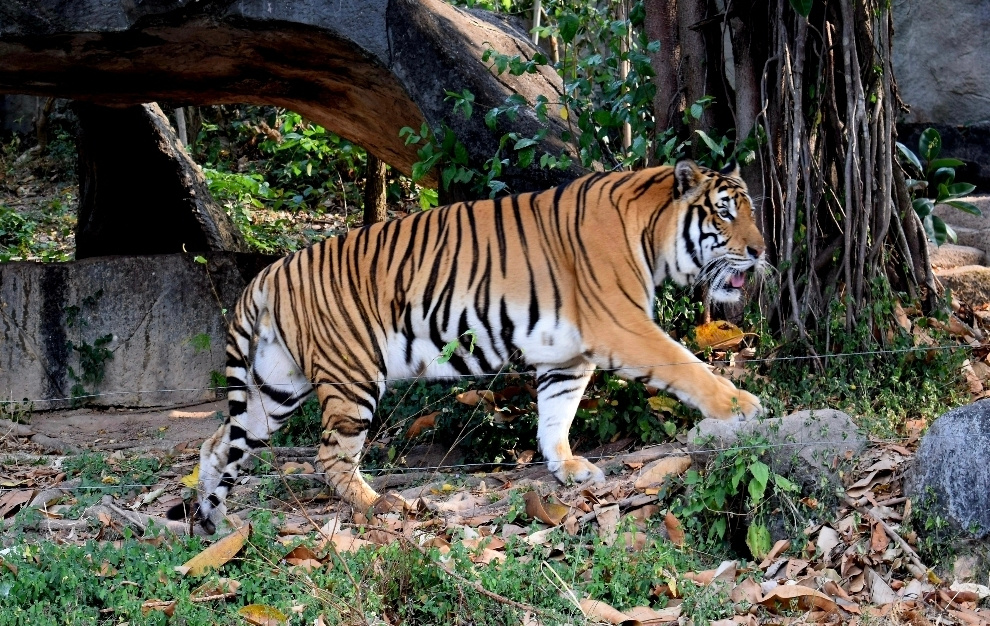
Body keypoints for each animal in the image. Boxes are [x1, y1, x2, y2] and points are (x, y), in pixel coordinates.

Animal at [173, 159, 767, 534]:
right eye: (725, 211)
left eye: (751, 211)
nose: (762, 251)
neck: (652, 235)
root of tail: (267, 273)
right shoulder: (621, 325)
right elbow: (686, 366)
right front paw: (742, 406)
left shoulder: (566, 354)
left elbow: (556, 415)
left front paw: (568, 469)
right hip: (351, 377)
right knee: (331, 456)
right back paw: (379, 504)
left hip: (274, 388)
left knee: (218, 443)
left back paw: (212, 518)